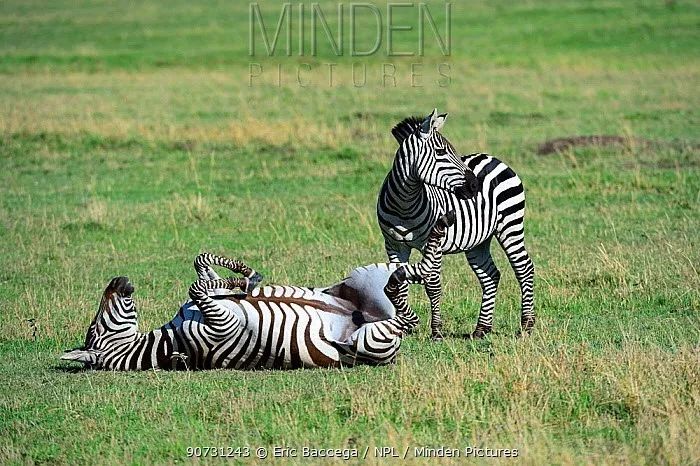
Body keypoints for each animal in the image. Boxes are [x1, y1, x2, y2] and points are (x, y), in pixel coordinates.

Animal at [58, 213, 454, 370]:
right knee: (406, 312)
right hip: (369, 339)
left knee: (406, 283)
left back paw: (439, 230)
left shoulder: (205, 309)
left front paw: (243, 279)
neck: (170, 341)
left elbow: (200, 265)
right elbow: (197, 285)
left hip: (366, 276)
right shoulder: (221, 328)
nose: (117, 279)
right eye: (93, 330)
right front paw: (240, 282)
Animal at [378, 109, 536, 342]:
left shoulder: (432, 245)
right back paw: (481, 329)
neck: (403, 205)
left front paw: (436, 331)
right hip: (478, 240)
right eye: (441, 152)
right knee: (490, 276)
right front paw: (403, 326)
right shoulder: (394, 245)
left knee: (524, 268)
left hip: (510, 225)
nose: (474, 185)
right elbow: (402, 283)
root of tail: (492, 158)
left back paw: (526, 325)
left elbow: (433, 285)